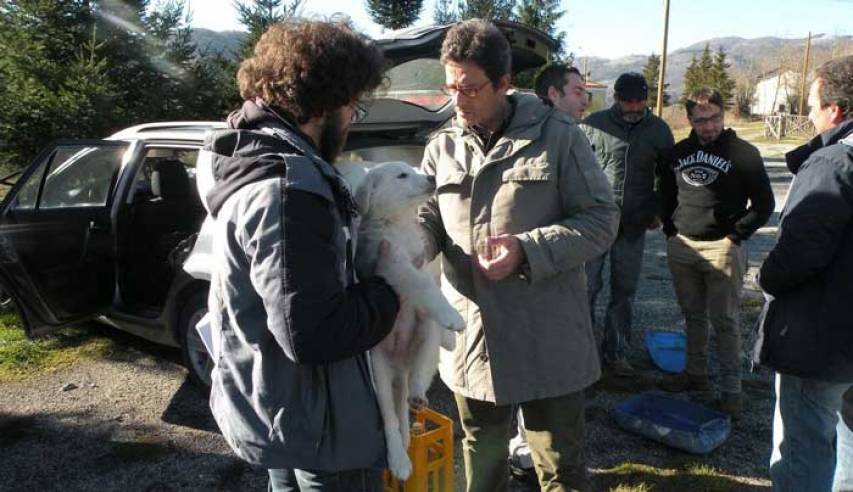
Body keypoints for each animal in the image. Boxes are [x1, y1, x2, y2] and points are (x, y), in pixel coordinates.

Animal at [340, 162, 462, 480]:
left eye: (416, 169)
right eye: (402, 175)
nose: (432, 177)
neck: (399, 225)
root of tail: (400, 367)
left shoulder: (425, 260)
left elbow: (435, 284)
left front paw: (451, 331)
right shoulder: (391, 264)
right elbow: (424, 285)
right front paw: (453, 317)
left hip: (424, 336)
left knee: (419, 373)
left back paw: (418, 396)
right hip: (378, 373)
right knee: (390, 419)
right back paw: (399, 460)